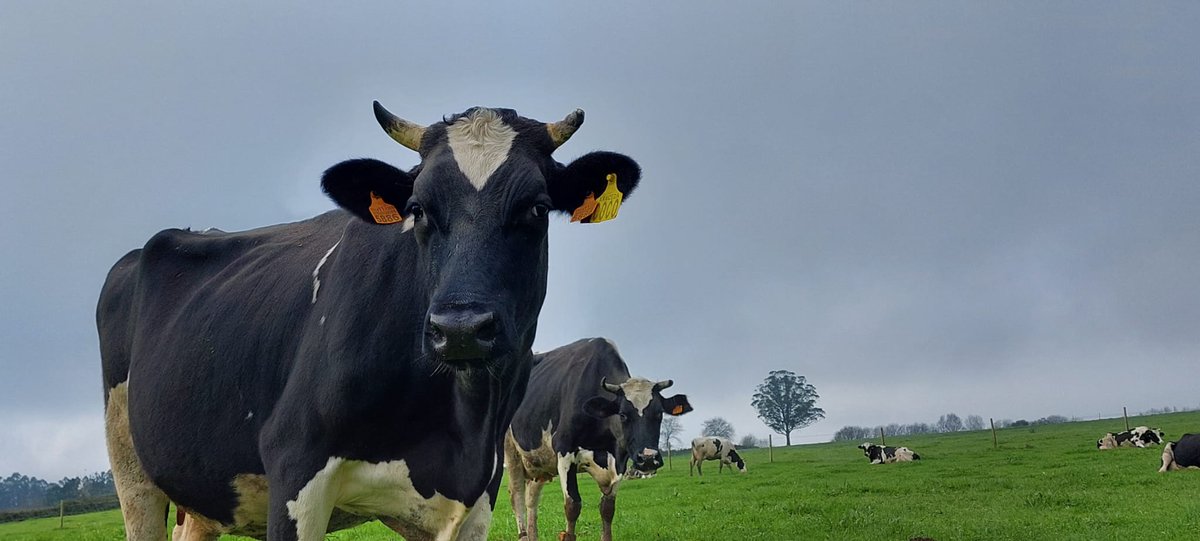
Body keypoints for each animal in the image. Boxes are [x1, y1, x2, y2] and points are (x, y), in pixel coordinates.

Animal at [97, 102, 643, 541]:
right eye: (418, 209)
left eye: (537, 208)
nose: (460, 329)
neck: (460, 418)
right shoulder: (295, 470)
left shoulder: (473, 498)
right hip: (132, 473)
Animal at [503, 338, 692, 541]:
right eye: (623, 415)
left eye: (659, 414)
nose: (648, 458)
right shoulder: (564, 451)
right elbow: (573, 506)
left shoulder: (619, 461)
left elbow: (607, 508)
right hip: (511, 453)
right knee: (517, 497)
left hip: (538, 463)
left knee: (532, 500)